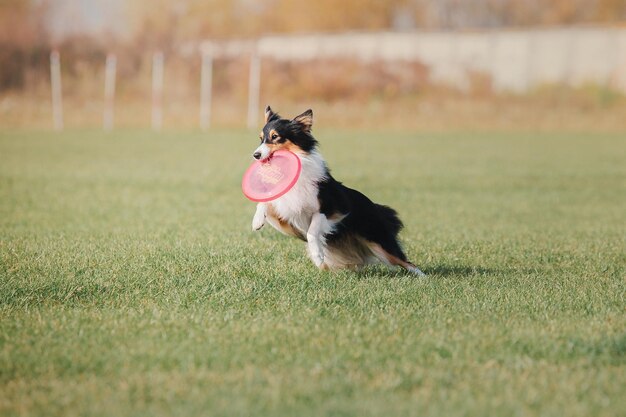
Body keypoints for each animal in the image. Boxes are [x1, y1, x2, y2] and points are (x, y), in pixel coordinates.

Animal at [250, 105, 424, 274]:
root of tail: (376, 207)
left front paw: (317, 255)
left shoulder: (331, 210)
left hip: (380, 244)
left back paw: (422, 277)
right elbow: (265, 202)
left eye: (275, 136)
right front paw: (257, 221)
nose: (256, 155)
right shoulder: (286, 216)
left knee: (407, 262)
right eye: (261, 138)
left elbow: (312, 231)